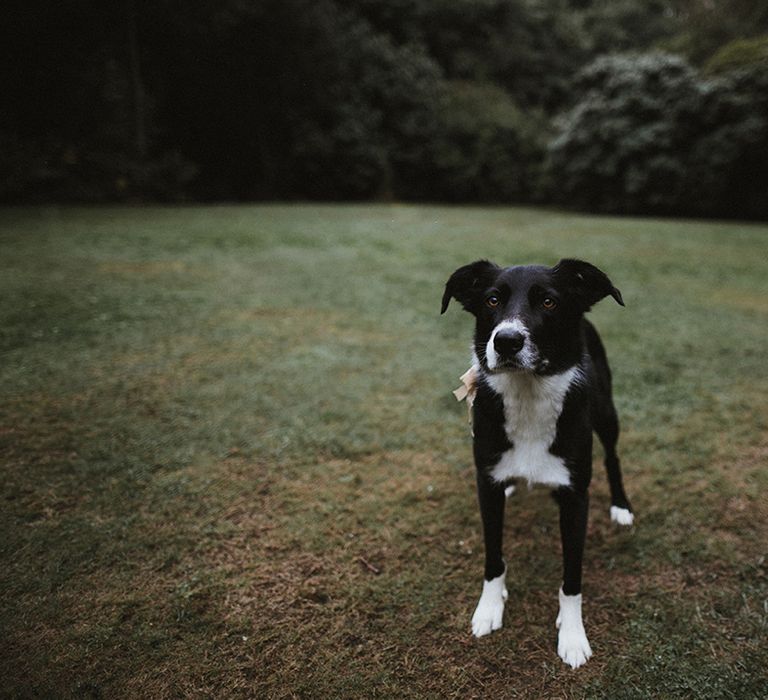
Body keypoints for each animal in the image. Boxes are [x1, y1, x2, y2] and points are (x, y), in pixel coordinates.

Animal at [440, 258, 632, 668]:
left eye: (548, 302)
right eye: (492, 299)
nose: (506, 340)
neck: (527, 394)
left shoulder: (576, 497)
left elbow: (572, 576)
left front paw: (573, 635)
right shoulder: (486, 485)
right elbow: (493, 558)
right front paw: (489, 609)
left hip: (606, 412)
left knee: (612, 455)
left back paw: (621, 506)